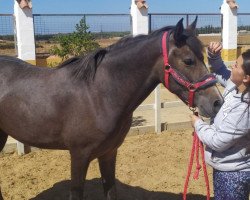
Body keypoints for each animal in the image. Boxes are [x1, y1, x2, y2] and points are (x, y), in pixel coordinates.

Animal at [0, 17, 223, 200]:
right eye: (188, 60)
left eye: (204, 57)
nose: (217, 102)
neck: (98, 94)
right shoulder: (79, 156)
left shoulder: (108, 153)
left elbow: (111, 190)